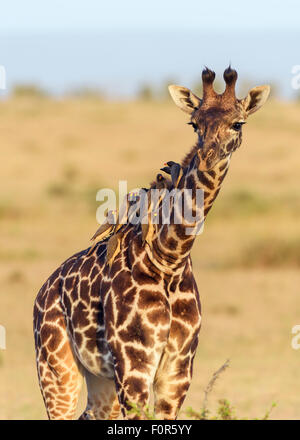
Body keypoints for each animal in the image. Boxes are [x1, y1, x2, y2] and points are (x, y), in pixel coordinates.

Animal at [32, 67, 270, 422]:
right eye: (194, 123)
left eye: (237, 123)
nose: (208, 156)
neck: (168, 258)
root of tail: (43, 290)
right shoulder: (134, 366)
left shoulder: (177, 371)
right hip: (56, 367)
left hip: (101, 380)